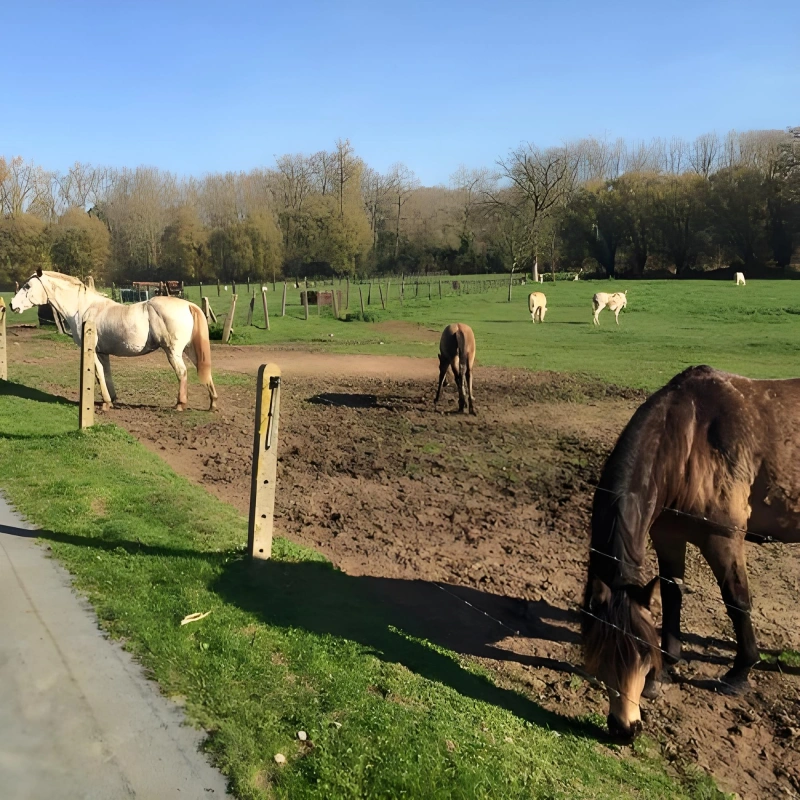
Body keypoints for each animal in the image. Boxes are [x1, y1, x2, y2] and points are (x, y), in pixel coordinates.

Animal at [10, 270, 218, 411]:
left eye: (28, 286)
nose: (12, 305)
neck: (83, 309)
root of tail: (188, 305)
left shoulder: (92, 351)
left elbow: (98, 374)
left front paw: (106, 403)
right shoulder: (103, 352)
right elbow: (106, 373)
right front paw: (112, 399)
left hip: (173, 351)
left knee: (182, 373)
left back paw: (180, 404)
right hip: (188, 349)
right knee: (203, 369)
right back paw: (213, 402)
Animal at [582, 365, 800, 739]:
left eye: (642, 654)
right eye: (602, 652)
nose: (626, 729)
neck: (688, 439)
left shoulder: (723, 539)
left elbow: (736, 601)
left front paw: (740, 672)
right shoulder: (668, 534)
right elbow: (672, 593)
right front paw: (666, 669)